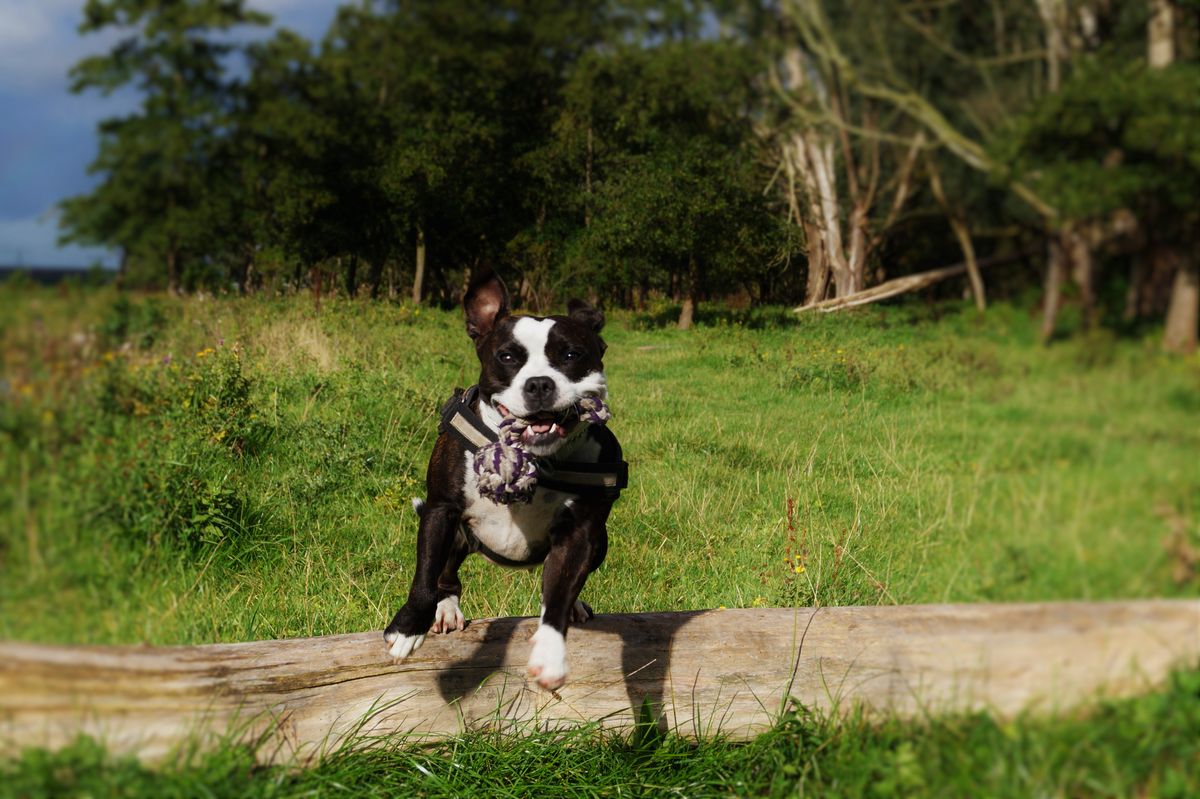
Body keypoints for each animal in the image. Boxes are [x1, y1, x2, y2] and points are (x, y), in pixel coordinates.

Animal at [386, 271, 628, 686]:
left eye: (571, 355)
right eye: (508, 357)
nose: (539, 384)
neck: (535, 458)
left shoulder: (580, 533)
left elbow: (559, 592)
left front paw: (550, 653)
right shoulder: (440, 509)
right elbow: (425, 574)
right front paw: (408, 627)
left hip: (601, 542)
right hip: (456, 533)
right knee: (446, 572)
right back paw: (444, 609)